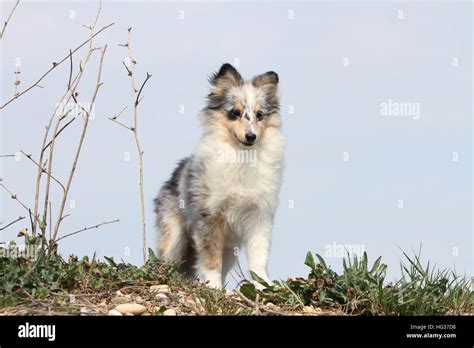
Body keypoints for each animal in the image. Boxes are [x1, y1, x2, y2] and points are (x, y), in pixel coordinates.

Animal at [154, 63, 284, 288]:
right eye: (234, 113)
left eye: (259, 115)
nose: (251, 136)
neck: (242, 157)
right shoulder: (209, 217)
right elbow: (211, 259)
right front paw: (212, 287)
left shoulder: (259, 217)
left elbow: (259, 259)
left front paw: (264, 286)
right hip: (174, 236)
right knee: (165, 261)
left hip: (230, 250)